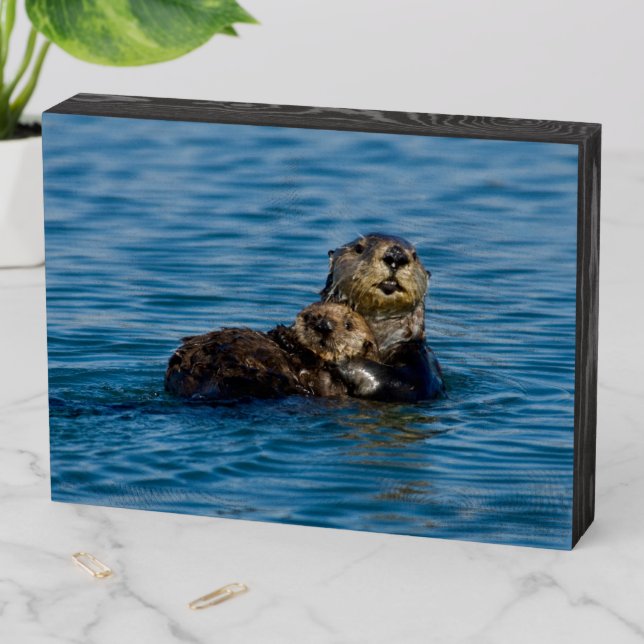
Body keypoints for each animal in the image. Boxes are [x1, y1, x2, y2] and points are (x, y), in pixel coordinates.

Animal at [321, 233, 445, 402]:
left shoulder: (421, 360)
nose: (396, 255)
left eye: (415, 255)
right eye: (359, 248)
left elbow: (404, 383)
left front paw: (342, 360)